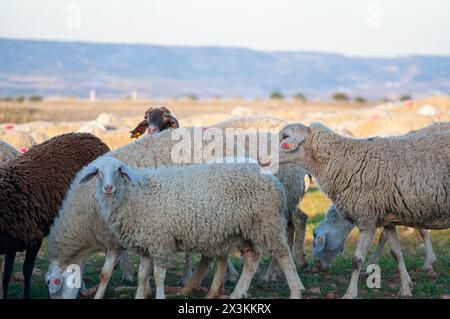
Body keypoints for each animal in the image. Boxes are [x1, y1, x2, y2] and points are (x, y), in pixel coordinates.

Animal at [45, 127, 241, 300]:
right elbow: (109, 272)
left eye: (54, 285)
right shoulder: (121, 236)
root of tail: (232, 143)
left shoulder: (122, 234)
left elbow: (114, 272)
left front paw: (144, 289)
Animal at [80, 158, 306, 300]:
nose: (107, 188)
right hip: (243, 229)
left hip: (267, 222)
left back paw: (296, 291)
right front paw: (139, 296)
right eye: (97, 172)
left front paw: (160, 295)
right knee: (253, 257)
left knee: (284, 256)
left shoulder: (161, 241)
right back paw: (237, 293)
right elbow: (143, 275)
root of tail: (274, 180)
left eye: (118, 171)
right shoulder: (146, 243)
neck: (133, 194)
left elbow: (158, 275)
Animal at [260, 121, 450, 298]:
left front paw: (350, 293)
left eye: (285, 136)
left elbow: (357, 260)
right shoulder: (387, 218)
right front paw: (405, 289)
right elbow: (396, 253)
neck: (347, 160)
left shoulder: (367, 218)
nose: (261, 158)